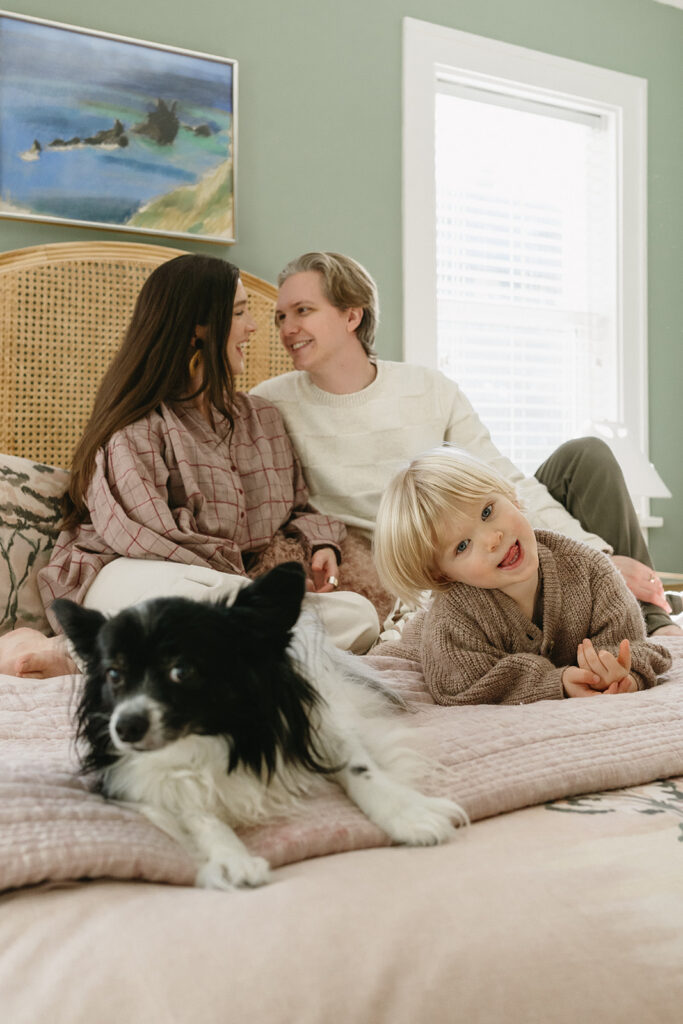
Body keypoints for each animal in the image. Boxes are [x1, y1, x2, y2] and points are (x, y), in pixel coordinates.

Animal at [52, 565, 464, 892]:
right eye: (114, 675)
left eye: (181, 671)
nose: (125, 727)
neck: (218, 734)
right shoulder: (144, 781)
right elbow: (198, 814)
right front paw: (232, 858)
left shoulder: (323, 729)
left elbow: (363, 771)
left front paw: (410, 815)